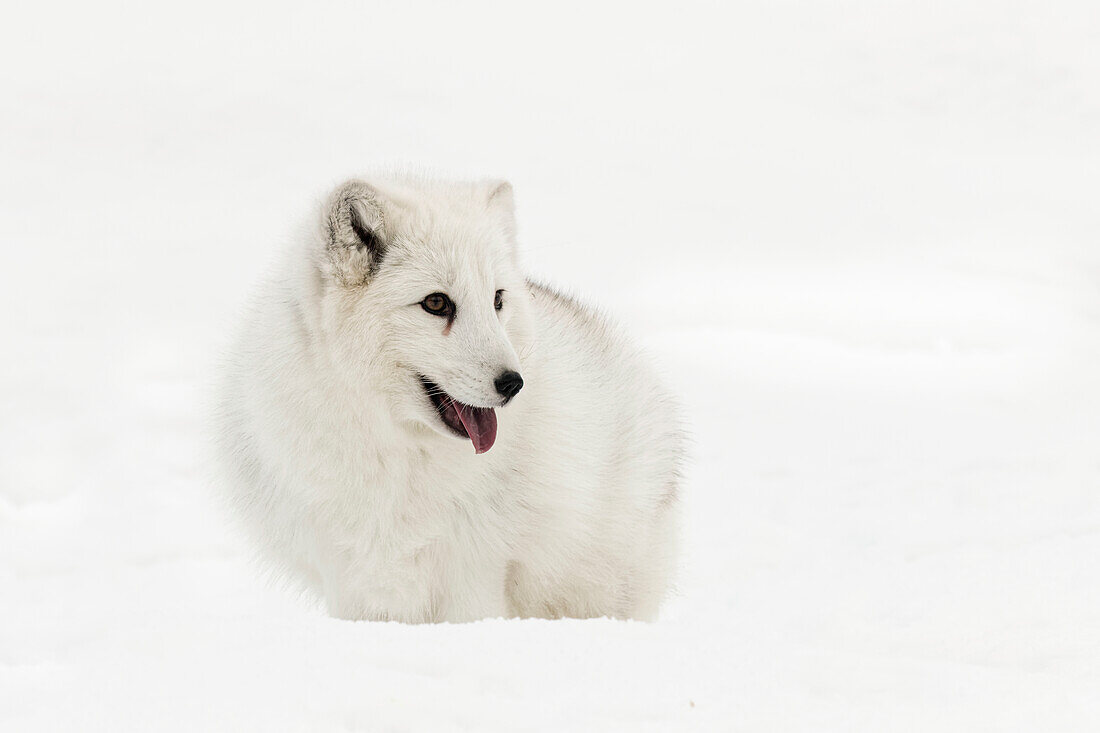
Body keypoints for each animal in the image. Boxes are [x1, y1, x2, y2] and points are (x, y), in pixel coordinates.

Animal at [213, 173, 677, 620]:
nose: (514, 384)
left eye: (497, 300)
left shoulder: (474, 570)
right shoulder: (351, 577)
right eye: (436, 303)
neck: (398, 456)